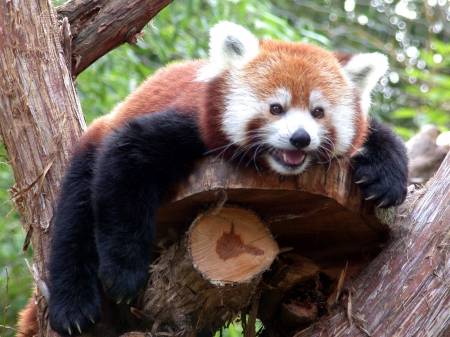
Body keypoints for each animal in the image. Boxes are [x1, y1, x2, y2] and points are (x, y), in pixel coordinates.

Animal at [15, 22, 408, 334]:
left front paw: (387, 179)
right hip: (91, 148)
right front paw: (123, 274)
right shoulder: (188, 124)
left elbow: (378, 135)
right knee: (75, 219)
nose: (300, 138)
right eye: (276, 109)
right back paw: (74, 307)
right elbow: (124, 176)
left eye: (318, 113)